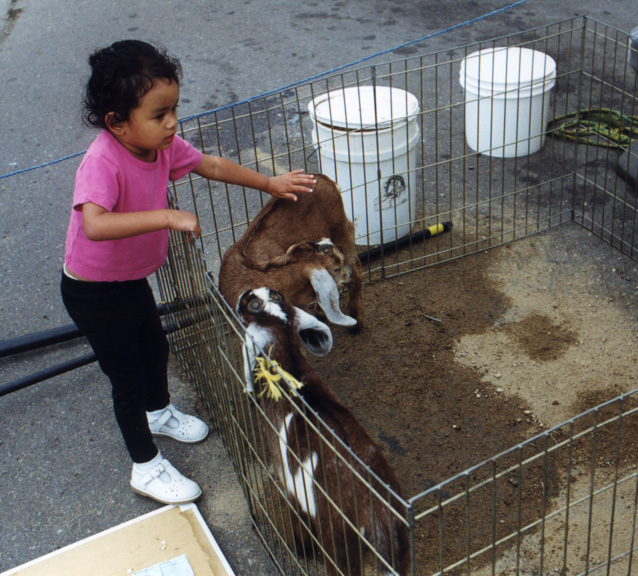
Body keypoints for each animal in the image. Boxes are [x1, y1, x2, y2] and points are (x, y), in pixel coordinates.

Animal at [219, 173, 364, 328]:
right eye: (336, 268)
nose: (346, 276)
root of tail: (320, 177)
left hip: (340, 229)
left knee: (356, 265)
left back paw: (356, 320)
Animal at [238, 288, 408, 576]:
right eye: (273, 295)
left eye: (253, 305)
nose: (243, 295)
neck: (291, 374)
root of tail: (376, 510)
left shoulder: (287, 480)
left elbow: (298, 520)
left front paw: (303, 552)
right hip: (399, 543)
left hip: (338, 543)